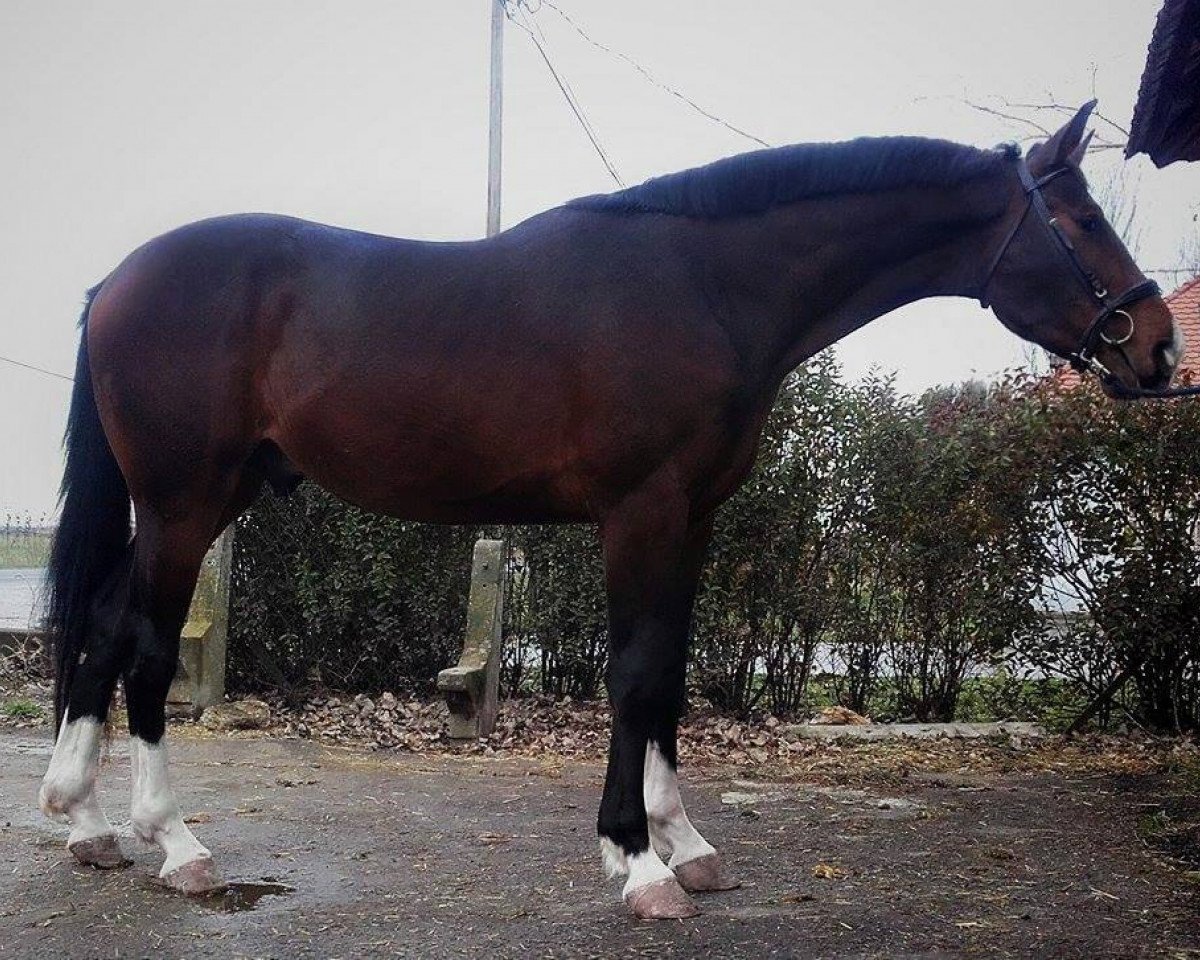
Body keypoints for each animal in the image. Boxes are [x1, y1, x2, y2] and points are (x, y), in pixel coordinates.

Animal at [38, 100, 1182, 920]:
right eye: (1082, 220)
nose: (1160, 350)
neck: (704, 286)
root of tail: (118, 281)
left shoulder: (694, 519)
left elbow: (667, 674)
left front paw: (688, 846)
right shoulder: (641, 512)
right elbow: (634, 677)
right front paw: (638, 866)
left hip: (196, 499)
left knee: (102, 629)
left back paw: (82, 823)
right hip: (183, 502)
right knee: (145, 651)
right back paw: (174, 846)